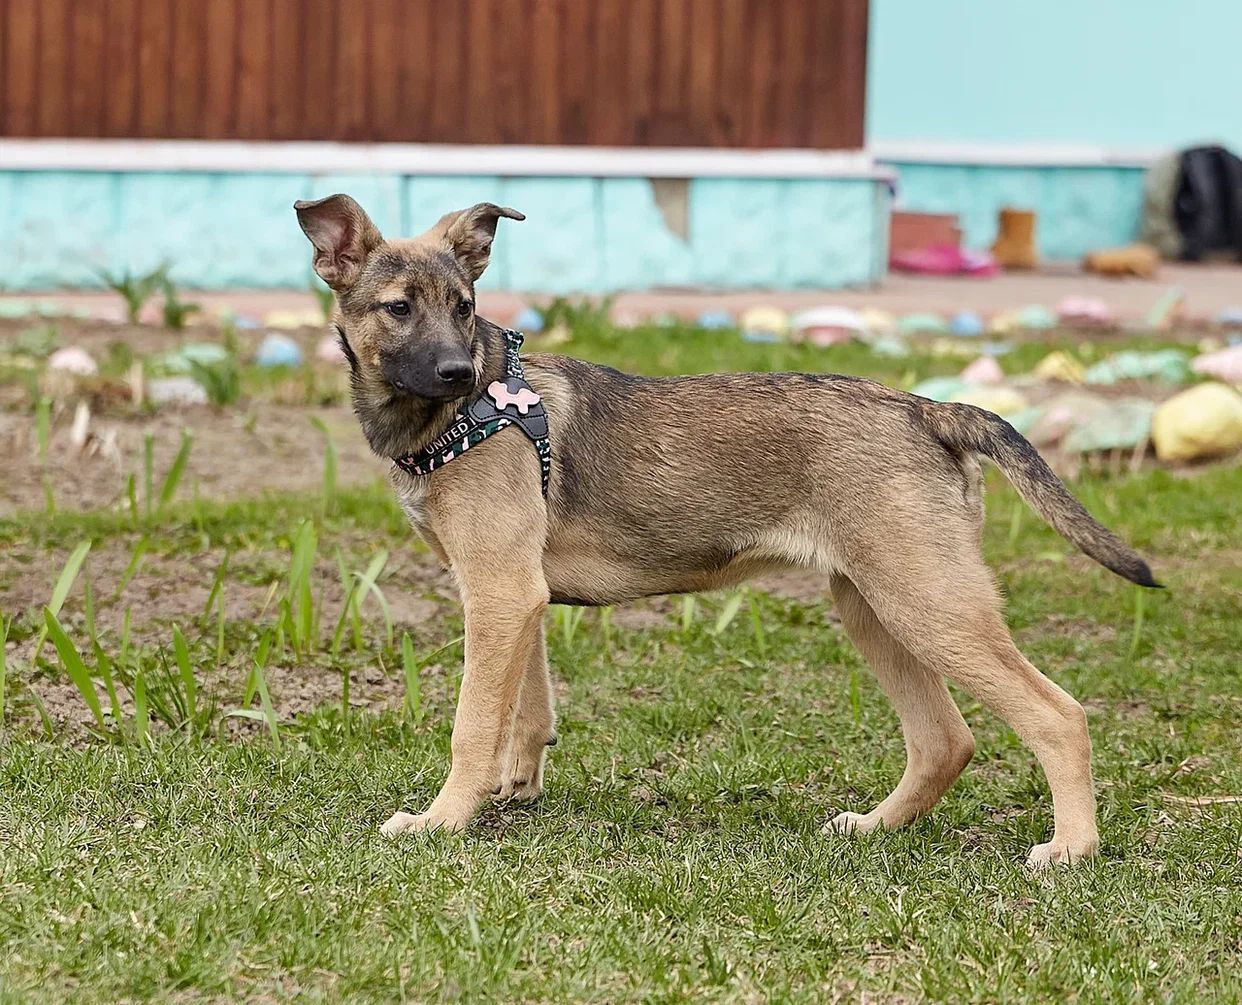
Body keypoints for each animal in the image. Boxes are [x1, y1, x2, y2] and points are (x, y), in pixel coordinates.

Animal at [295, 193, 1157, 864]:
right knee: (945, 740)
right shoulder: (516, 593)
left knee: (1058, 714)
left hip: (928, 601)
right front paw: (514, 791)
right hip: (875, 604)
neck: (454, 417)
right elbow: (526, 706)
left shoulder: (500, 591)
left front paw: (442, 819)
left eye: (464, 309)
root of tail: (928, 409)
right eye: (399, 308)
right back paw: (875, 826)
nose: (457, 373)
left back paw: (1072, 848)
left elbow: (472, 723)